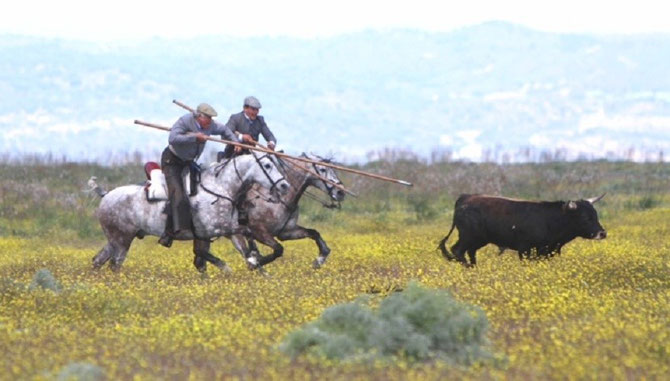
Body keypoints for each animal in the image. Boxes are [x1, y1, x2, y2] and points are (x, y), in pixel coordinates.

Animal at [89, 150, 288, 272]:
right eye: (268, 166)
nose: (285, 185)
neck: (220, 187)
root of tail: (105, 195)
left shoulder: (227, 231)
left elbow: (259, 245)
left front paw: (258, 262)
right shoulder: (216, 229)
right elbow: (246, 235)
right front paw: (254, 260)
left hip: (115, 240)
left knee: (98, 261)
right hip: (122, 240)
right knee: (114, 265)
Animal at [194, 152, 346, 270]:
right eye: (322, 169)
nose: (340, 192)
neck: (278, 199)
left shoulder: (286, 232)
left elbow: (314, 233)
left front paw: (320, 259)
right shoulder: (259, 231)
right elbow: (278, 249)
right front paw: (256, 261)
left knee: (199, 259)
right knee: (201, 254)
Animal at [440, 193, 608, 264]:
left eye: (595, 214)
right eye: (585, 217)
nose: (602, 233)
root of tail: (466, 198)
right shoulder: (525, 249)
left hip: (478, 240)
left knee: (469, 252)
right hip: (468, 237)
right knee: (458, 250)